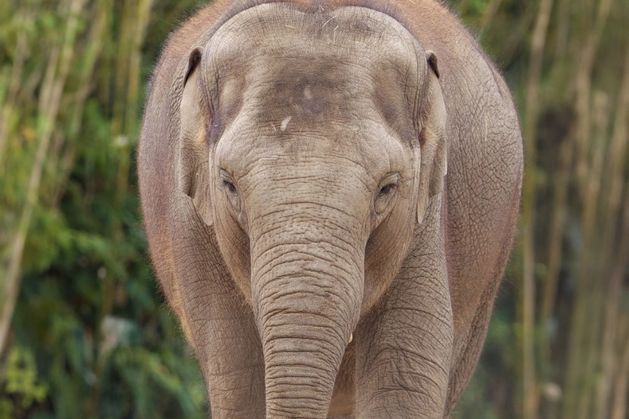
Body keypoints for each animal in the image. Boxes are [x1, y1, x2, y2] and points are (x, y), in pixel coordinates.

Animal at [137, 1, 520, 418]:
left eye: (387, 188)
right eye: (228, 184)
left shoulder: (424, 221)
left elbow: (400, 382)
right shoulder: (192, 226)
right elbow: (239, 382)